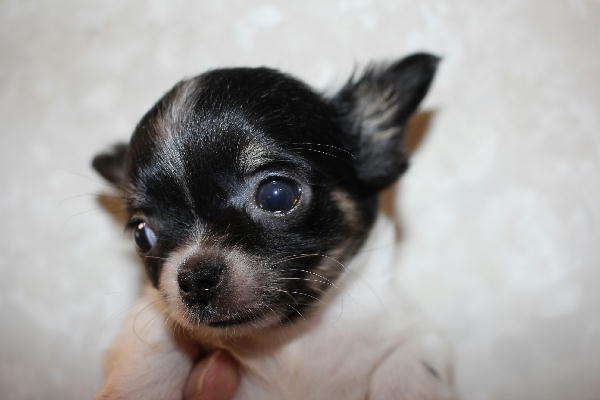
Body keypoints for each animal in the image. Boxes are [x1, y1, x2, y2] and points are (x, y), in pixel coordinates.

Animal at [92, 53, 455, 399]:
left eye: (277, 195)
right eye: (142, 234)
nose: (195, 279)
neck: (289, 339)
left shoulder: (413, 335)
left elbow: (409, 363)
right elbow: (153, 336)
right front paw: (136, 386)